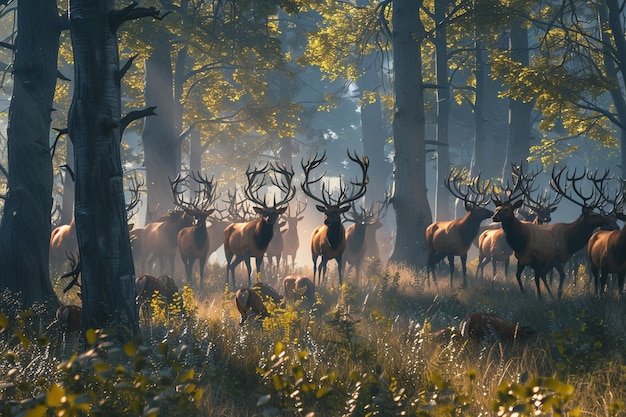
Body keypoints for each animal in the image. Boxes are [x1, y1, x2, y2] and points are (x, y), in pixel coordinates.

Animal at [300, 150, 368, 286]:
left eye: (336, 212)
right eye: (325, 212)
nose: (326, 221)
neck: (333, 244)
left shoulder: (341, 255)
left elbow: (340, 272)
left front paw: (340, 287)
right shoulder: (324, 253)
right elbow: (323, 269)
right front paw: (321, 285)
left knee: (321, 267)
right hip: (313, 251)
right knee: (316, 267)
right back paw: (315, 282)